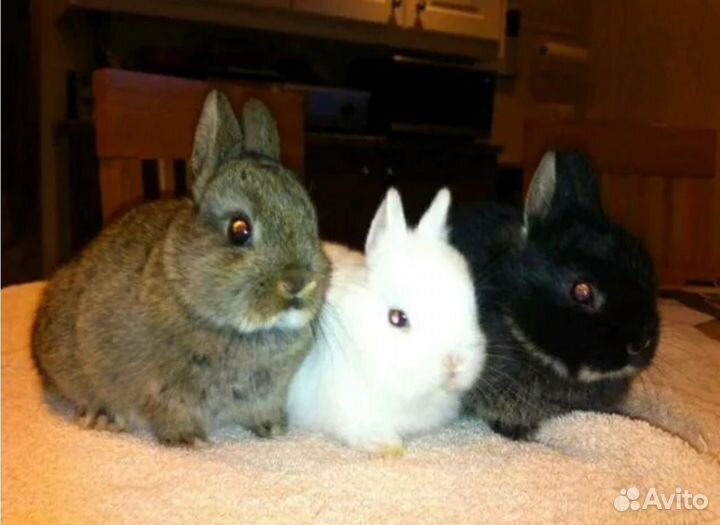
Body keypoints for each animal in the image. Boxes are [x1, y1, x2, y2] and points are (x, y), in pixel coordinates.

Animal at [32, 92, 331, 446]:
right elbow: (171, 414)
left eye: (311, 221)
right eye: (239, 229)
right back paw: (102, 417)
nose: (298, 281)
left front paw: (273, 428)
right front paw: (191, 441)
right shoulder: (163, 390)